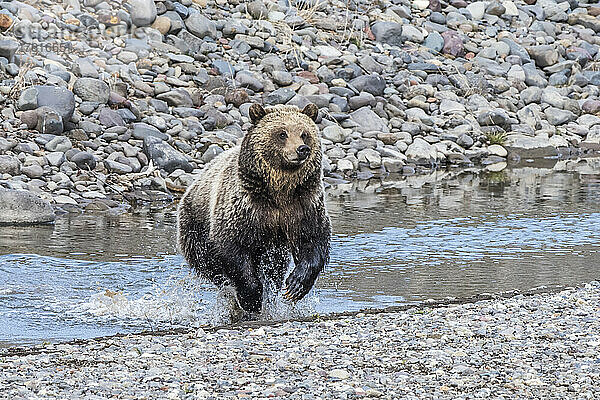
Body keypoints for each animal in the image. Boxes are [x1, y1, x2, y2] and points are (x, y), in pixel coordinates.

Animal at [176, 103, 330, 318]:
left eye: (304, 133)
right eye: (282, 133)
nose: (302, 149)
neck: (280, 191)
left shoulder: (303, 205)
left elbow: (314, 239)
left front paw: (295, 286)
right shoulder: (244, 207)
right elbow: (233, 248)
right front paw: (251, 299)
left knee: (274, 270)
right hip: (195, 227)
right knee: (210, 266)